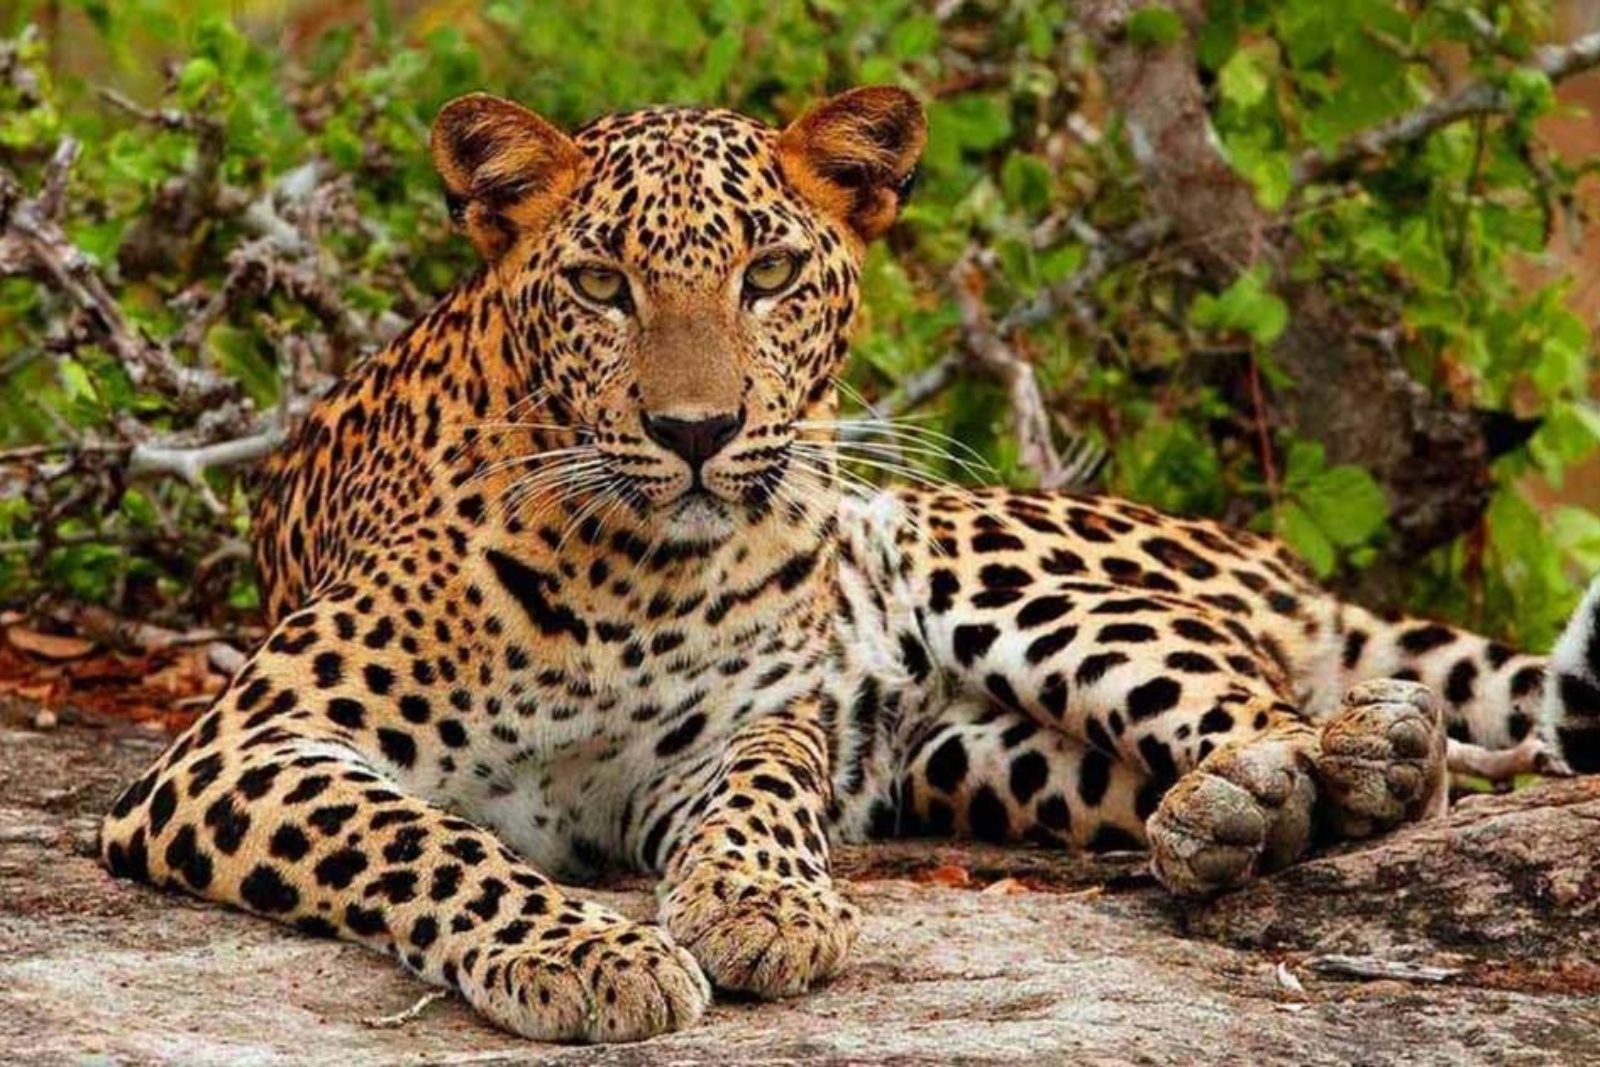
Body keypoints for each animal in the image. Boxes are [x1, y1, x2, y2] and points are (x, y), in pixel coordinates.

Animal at [101, 86, 1600, 1044]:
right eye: (599, 286)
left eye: (768, 273)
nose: (696, 433)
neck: (628, 577)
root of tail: (1270, 553)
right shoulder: (244, 745)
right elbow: (423, 838)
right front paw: (588, 949)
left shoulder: (739, 724)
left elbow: (761, 793)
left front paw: (760, 902)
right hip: (970, 756)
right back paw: (1227, 817)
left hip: (984, 560)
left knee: (1261, 690)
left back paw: (1343, 758)